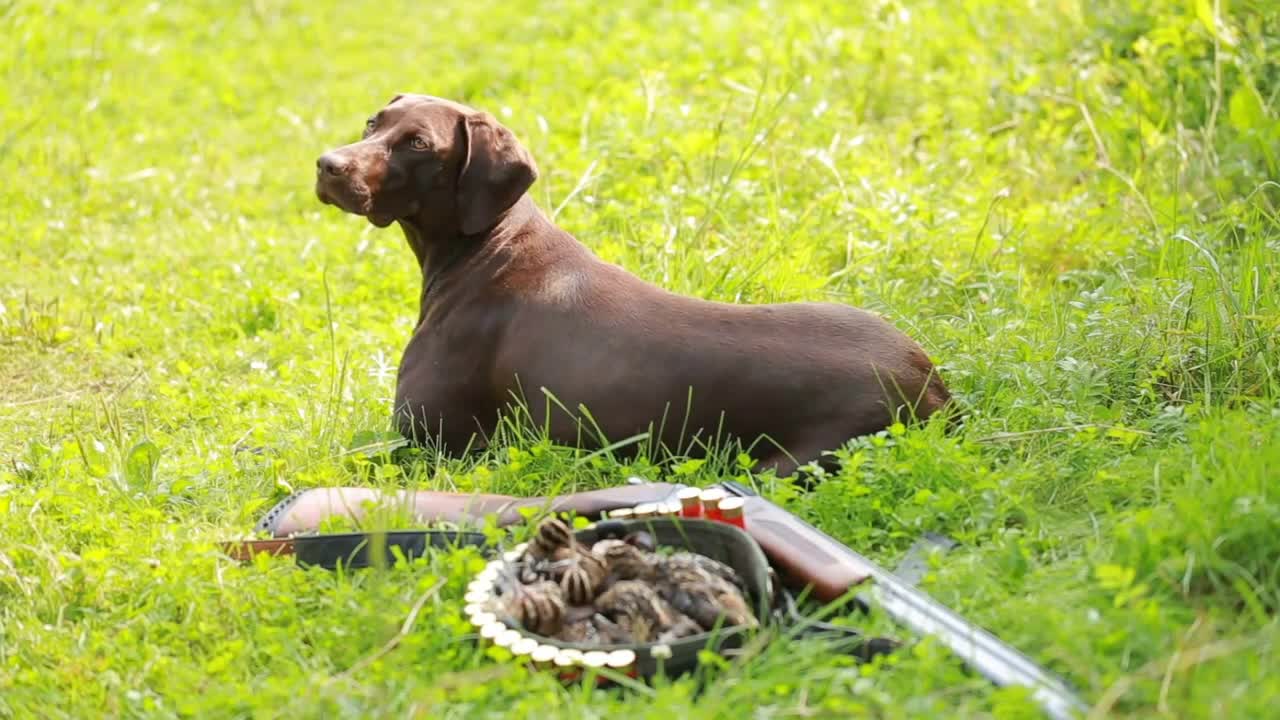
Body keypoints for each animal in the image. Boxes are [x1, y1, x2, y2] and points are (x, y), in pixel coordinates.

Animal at [313, 94, 947, 476]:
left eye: (419, 143)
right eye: (372, 124)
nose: (327, 165)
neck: (486, 245)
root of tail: (932, 384)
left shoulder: (427, 447)